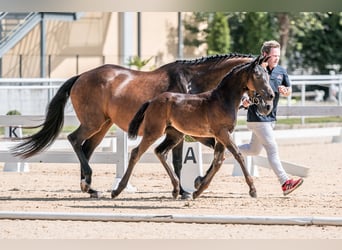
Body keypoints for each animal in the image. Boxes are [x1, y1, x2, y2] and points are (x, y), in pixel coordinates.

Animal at [10, 53, 254, 198]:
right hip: (93, 122)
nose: (261, 102)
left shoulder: (191, 132)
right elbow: (180, 161)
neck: (193, 82)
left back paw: (89, 187)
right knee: (75, 140)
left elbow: (209, 154)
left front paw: (194, 184)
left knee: (86, 148)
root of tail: (81, 76)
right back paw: (89, 183)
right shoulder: (187, 132)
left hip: (103, 125)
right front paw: (188, 188)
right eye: (261, 74)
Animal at [113, 55, 274, 199]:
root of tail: (152, 101)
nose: (270, 98)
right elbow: (238, 155)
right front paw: (253, 190)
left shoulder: (221, 136)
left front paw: (198, 190)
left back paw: (176, 190)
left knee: (160, 152)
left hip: (174, 135)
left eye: (267, 74)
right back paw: (117, 190)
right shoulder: (222, 133)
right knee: (136, 153)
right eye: (257, 75)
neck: (222, 99)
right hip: (153, 132)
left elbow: (218, 160)